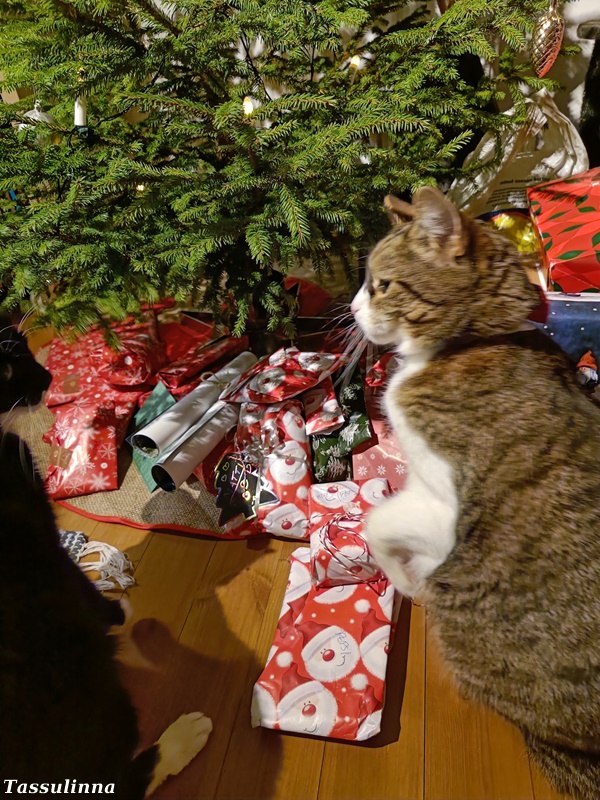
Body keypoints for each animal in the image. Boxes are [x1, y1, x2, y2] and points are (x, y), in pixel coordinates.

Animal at [0, 318, 211, 798]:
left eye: (21, 343)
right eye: (7, 368)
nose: (48, 378)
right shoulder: (44, 536)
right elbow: (86, 591)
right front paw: (120, 607)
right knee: (116, 778)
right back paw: (184, 735)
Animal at [351, 187, 600, 800]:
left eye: (381, 285)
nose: (352, 309)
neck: (471, 339)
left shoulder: (441, 502)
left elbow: (377, 521)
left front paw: (408, 582)